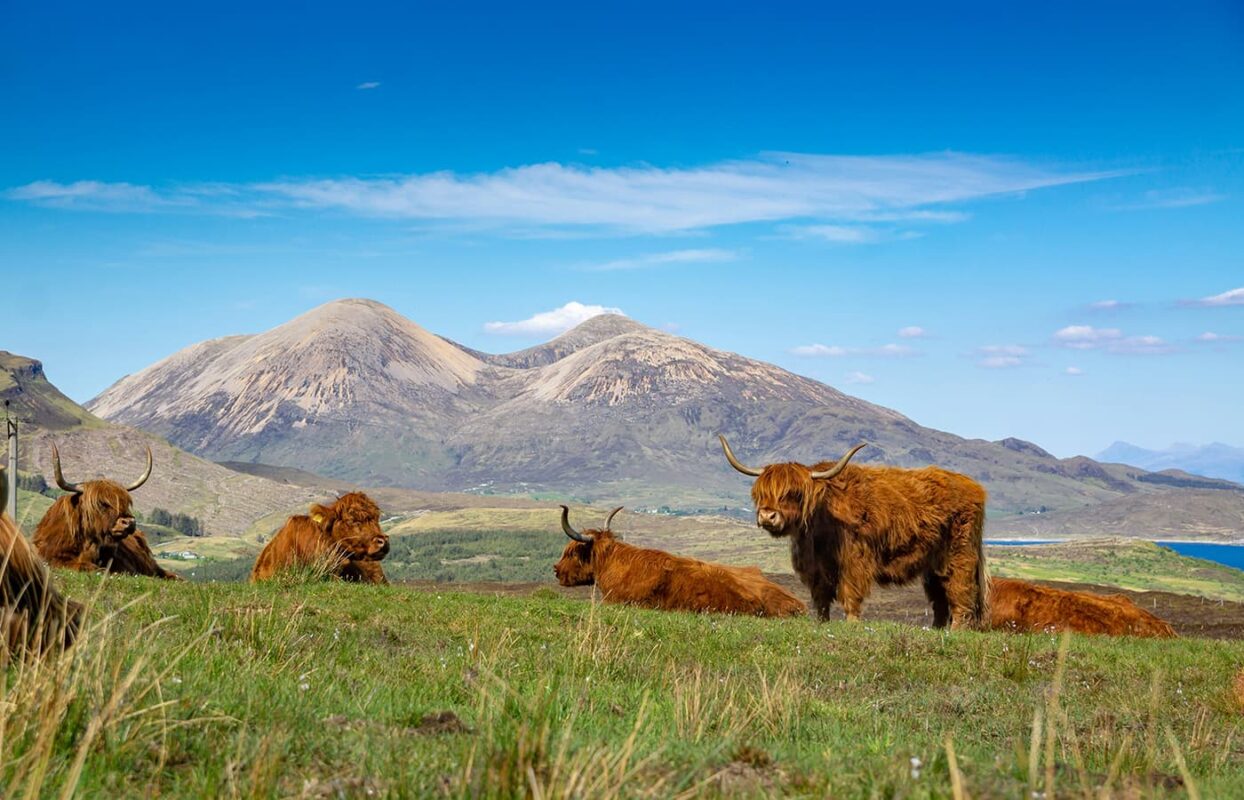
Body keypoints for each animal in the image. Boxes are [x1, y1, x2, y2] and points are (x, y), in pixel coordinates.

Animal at [721, 437, 990, 632]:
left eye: (793, 493)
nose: (768, 516)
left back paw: (956, 630)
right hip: (933, 565)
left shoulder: (854, 563)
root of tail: (974, 487)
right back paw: (935, 630)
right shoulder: (816, 569)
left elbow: (850, 594)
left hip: (960, 555)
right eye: (761, 493)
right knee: (939, 598)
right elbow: (820, 598)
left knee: (960, 591)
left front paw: (852, 624)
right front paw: (821, 623)